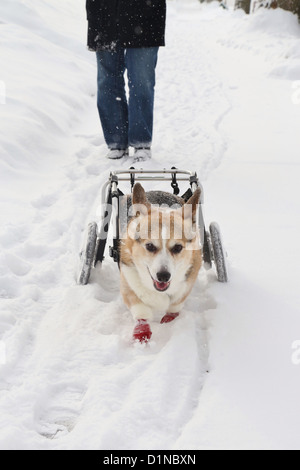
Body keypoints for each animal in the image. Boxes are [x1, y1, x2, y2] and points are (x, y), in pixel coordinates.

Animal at [119, 182, 202, 344]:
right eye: (150, 246)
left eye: (178, 247)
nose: (163, 276)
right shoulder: (128, 284)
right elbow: (140, 310)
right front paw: (142, 332)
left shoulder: (186, 286)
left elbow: (175, 305)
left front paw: (170, 319)